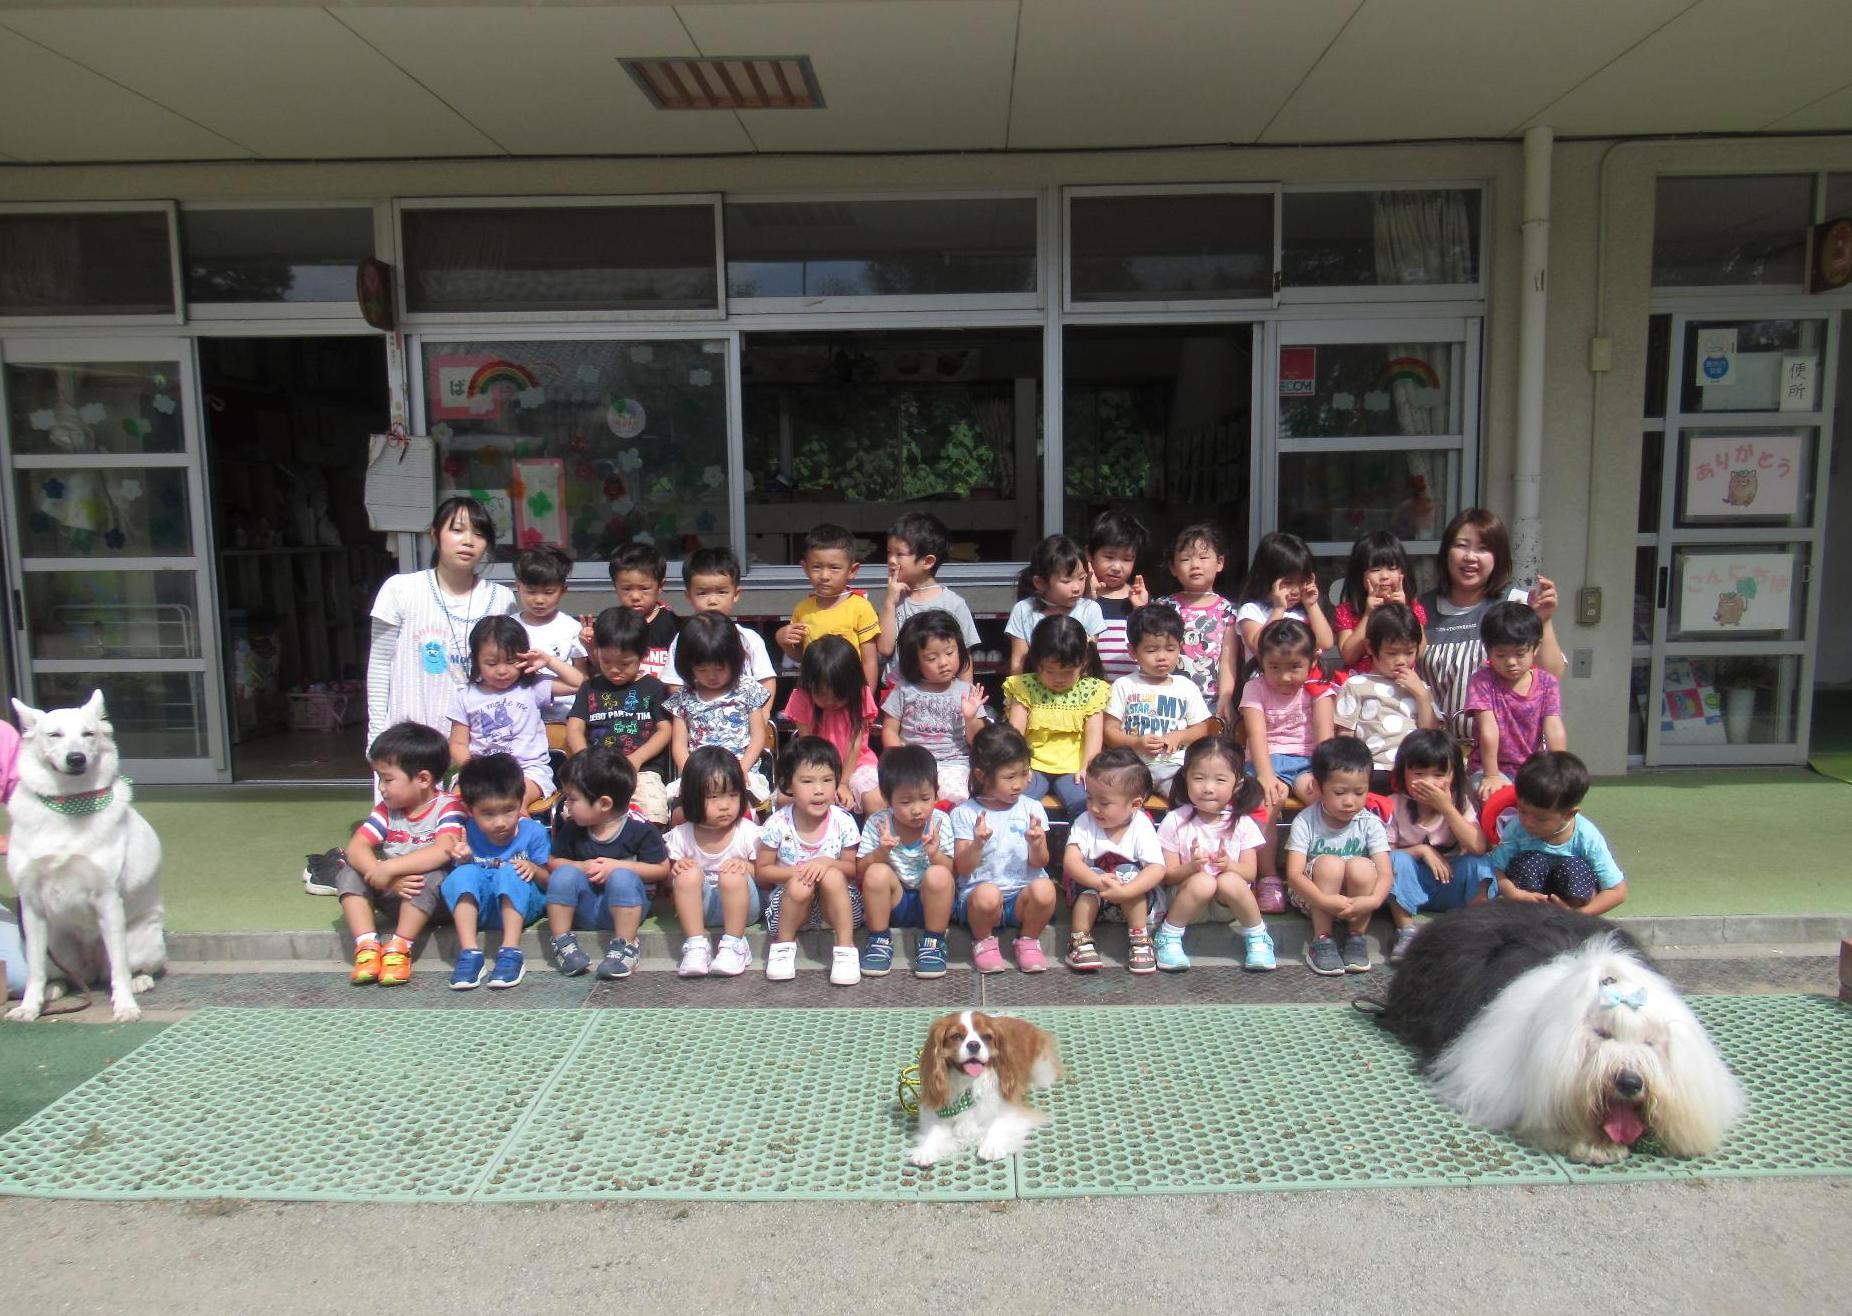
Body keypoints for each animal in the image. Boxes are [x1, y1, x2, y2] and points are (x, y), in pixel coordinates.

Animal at [6, 688, 166, 1029]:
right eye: (53, 734)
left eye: (88, 734)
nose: (76, 757)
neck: (69, 803)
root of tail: (91, 965)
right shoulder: (32, 904)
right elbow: (34, 971)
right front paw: (28, 1008)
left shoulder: (107, 898)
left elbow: (119, 966)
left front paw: (125, 1007)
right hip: (56, 945)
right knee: (63, 975)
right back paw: (54, 990)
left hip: (141, 939)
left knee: (125, 967)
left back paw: (139, 981)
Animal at [907, 1014, 1059, 1169]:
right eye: (956, 1036)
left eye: (986, 1037)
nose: (974, 1044)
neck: (968, 1082)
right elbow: (934, 1131)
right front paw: (926, 1150)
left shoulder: (1012, 1108)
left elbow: (999, 1123)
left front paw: (991, 1146)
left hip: (1042, 1069)